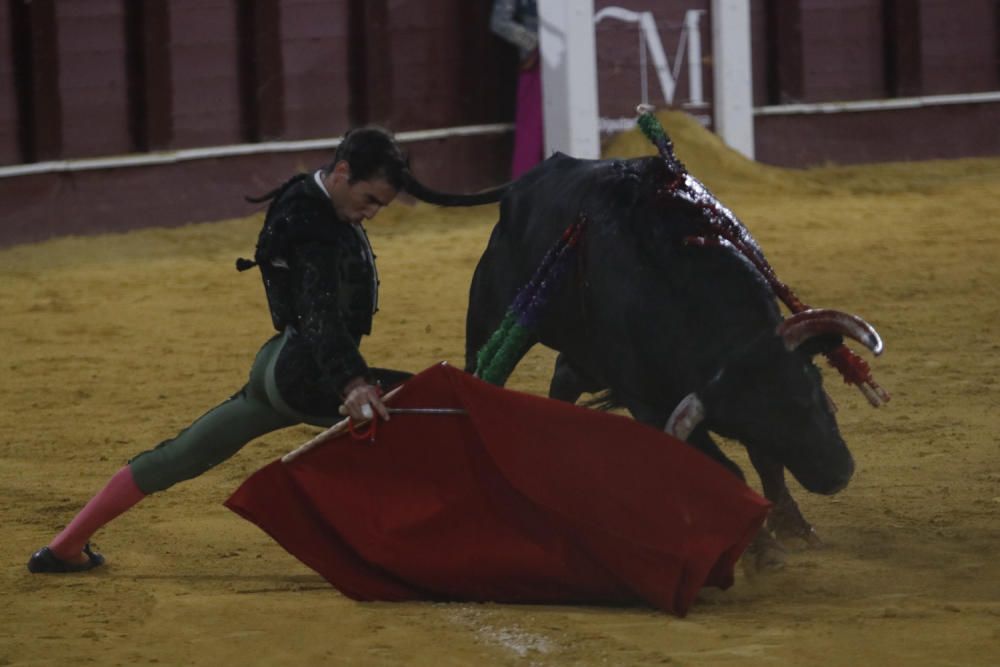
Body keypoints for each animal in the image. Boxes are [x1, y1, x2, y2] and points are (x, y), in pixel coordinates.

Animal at [402, 154, 888, 552]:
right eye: (752, 424)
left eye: (813, 390)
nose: (836, 474)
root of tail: (522, 184)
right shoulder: (650, 402)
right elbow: (729, 468)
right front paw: (762, 551)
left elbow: (766, 464)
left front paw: (794, 527)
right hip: (491, 316)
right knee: (482, 374)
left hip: (583, 352)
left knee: (563, 377)